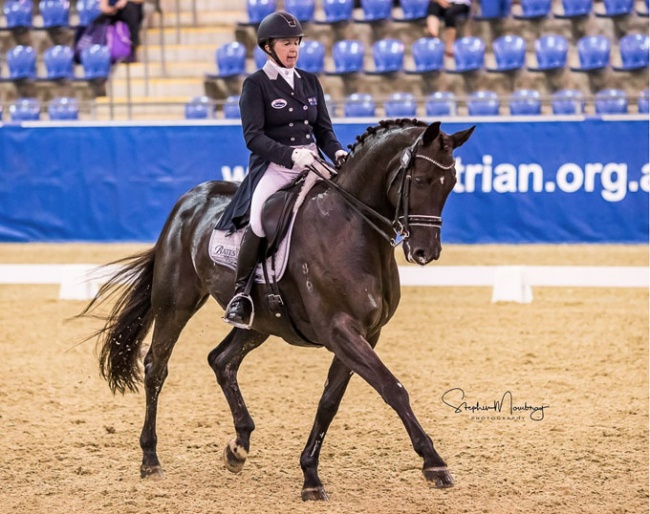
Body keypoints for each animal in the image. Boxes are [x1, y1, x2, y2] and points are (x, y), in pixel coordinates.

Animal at [83, 118, 474, 498]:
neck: (349, 226)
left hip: (260, 323)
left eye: (452, 183)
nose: (425, 252)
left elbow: (329, 401)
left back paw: (238, 447)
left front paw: (310, 475)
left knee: (222, 361)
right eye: (420, 180)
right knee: (156, 367)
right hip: (175, 304)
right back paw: (150, 460)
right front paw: (435, 465)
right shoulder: (341, 330)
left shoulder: (365, 333)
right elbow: (392, 388)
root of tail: (189, 200)